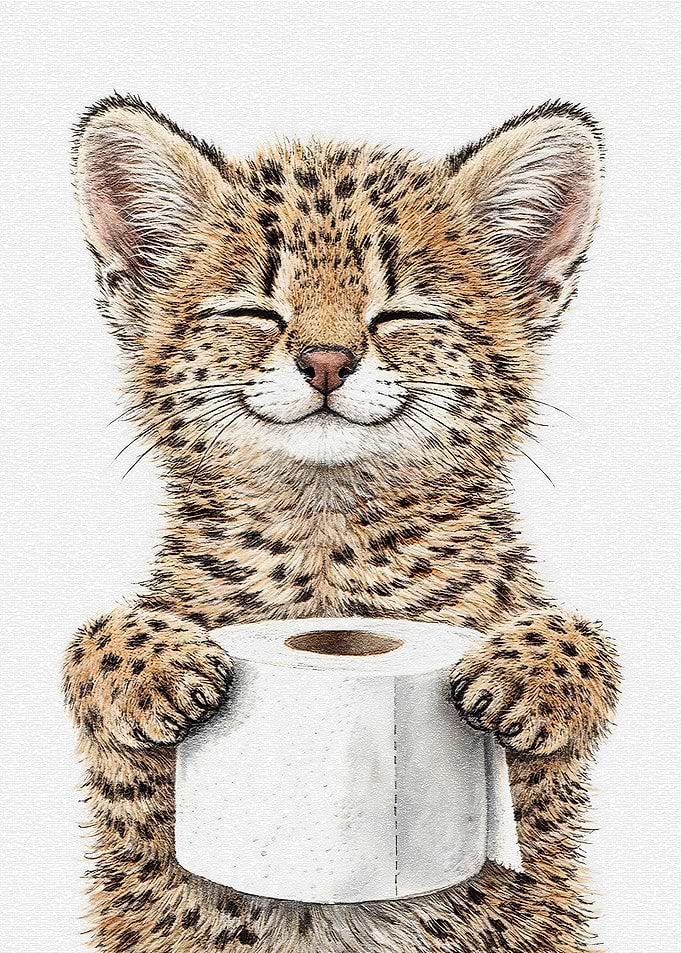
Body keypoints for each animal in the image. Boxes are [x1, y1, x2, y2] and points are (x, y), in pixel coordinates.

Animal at [63, 94, 620, 953]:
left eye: (402, 313)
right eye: (255, 309)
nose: (325, 361)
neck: (325, 539)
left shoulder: (538, 810)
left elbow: (579, 640)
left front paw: (530, 675)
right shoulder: (139, 812)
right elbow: (93, 644)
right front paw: (151, 665)